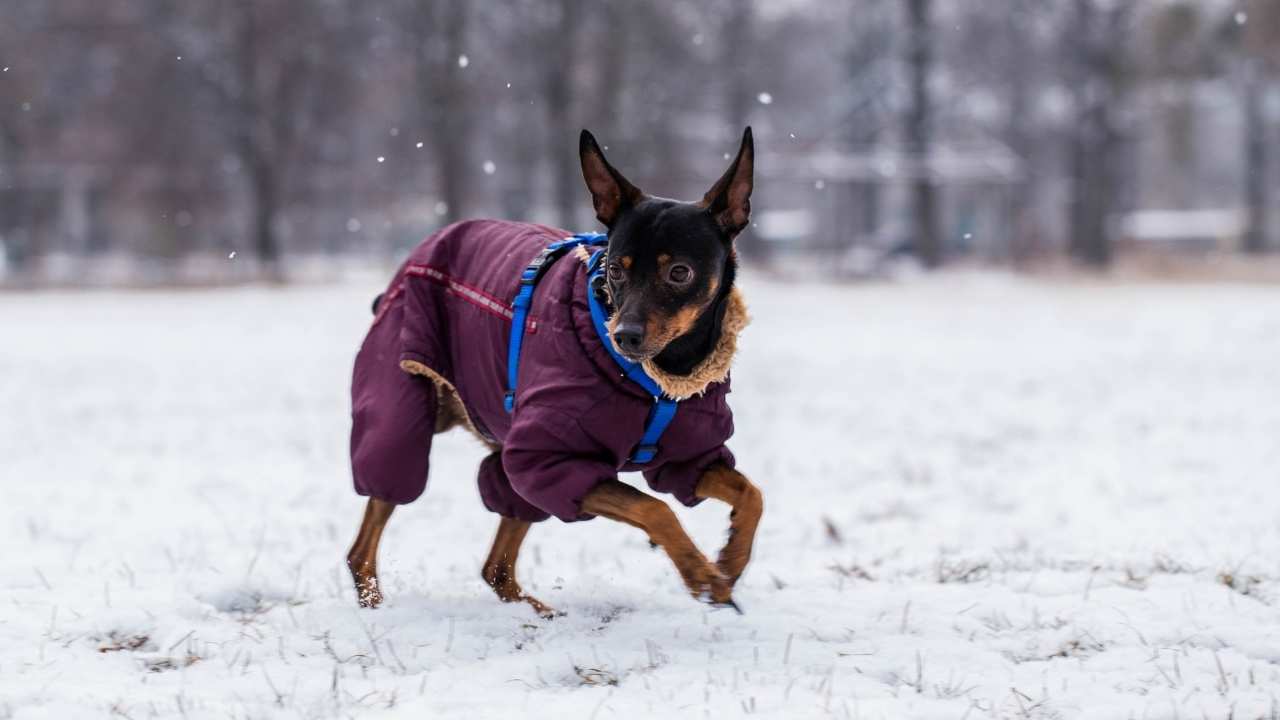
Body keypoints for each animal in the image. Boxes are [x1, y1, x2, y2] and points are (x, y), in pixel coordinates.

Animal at [345, 127, 757, 609]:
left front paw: (731, 559)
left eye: (679, 272)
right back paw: (375, 607)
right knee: (365, 539)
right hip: (401, 416)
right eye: (616, 269)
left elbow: (750, 493)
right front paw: (701, 573)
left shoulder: (687, 458)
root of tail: (420, 250)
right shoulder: (553, 460)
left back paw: (538, 613)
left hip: (505, 451)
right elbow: (654, 508)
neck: (661, 380)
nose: (625, 336)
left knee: (496, 566)